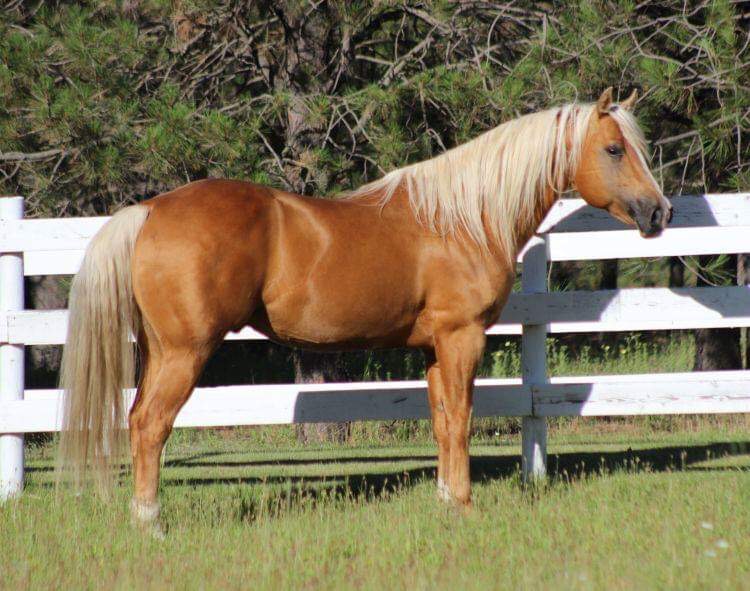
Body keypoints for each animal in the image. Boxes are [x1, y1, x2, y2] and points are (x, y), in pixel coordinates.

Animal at [58, 87, 672, 532]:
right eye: (614, 149)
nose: (659, 213)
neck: (465, 218)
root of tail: (149, 210)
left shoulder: (433, 348)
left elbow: (442, 421)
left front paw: (446, 500)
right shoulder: (462, 337)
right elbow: (463, 420)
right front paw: (465, 506)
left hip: (159, 350)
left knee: (138, 419)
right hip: (187, 352)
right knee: (151, 425)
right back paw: (151, 523)